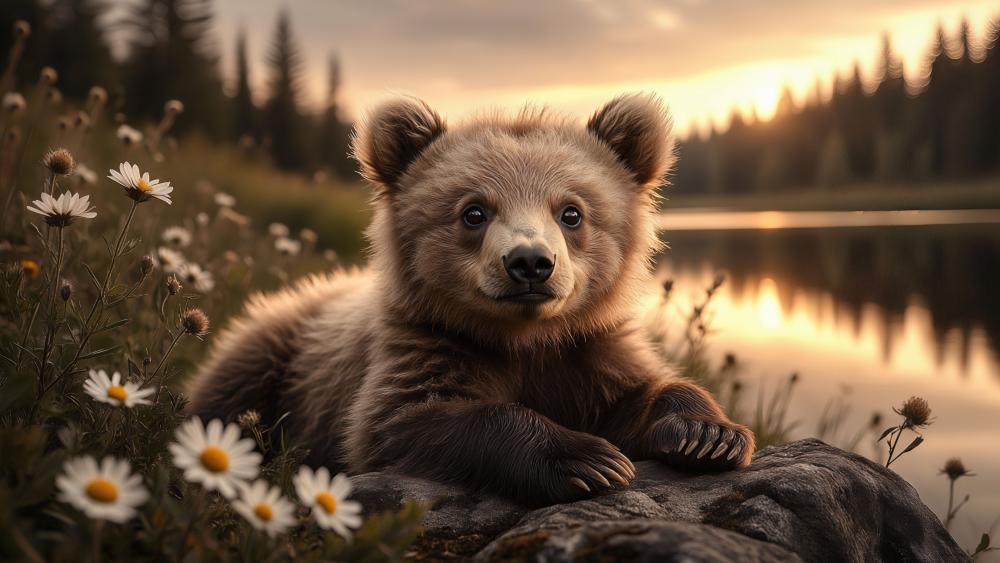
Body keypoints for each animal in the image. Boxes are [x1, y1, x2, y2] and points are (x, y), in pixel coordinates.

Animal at [186, 93, 755, 504]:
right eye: (474, 211)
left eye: (571, 212)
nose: (530, 262)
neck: (524, 338)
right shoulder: (427, 345)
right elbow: (408, 419)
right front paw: (587, 460)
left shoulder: (585, 351)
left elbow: (639, 390)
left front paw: (709, 435)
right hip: (273, 350)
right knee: (227, 395)